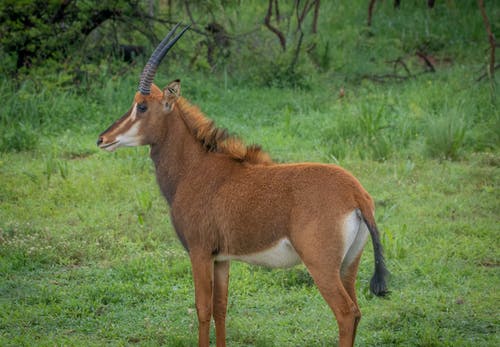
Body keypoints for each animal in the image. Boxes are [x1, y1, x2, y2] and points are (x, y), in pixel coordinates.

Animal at [96, 24, 386, 347]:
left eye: (142, 106)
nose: (103, 139)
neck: (193, 169)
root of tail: (356, 195)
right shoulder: (222, 258)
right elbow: (221, 308)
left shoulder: (199, 251)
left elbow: (202, 308)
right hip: (348, 265)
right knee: (357, 312)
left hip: (322, 266)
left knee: (346, 314)